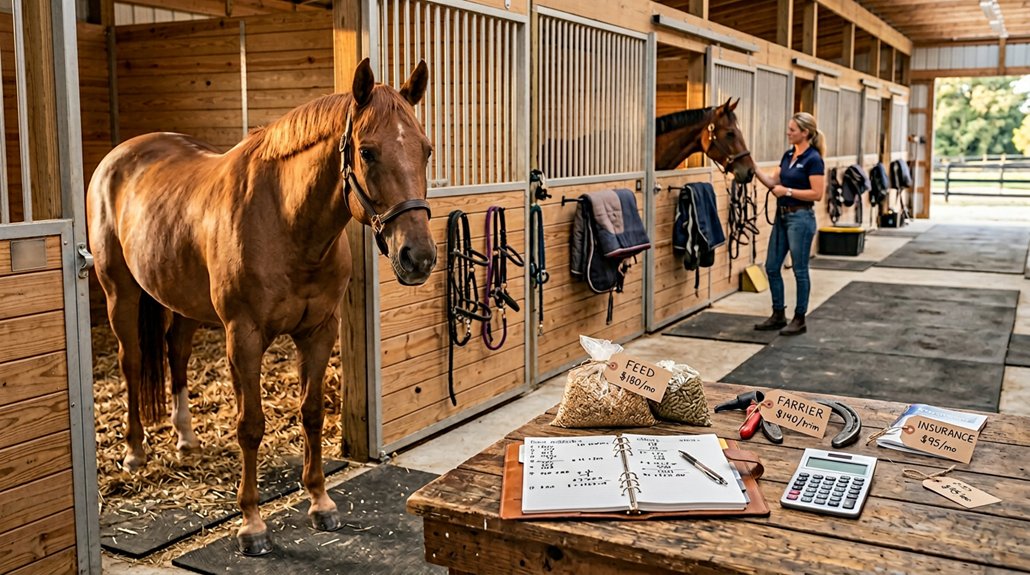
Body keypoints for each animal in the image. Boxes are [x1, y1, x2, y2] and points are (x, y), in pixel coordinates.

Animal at [86, 58, 436, 555]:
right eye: (367, 152)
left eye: (425, 150)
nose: (418, 257)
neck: (285, 222)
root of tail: (119, 157)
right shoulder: (244, 337)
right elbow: (250, 425)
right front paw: (251, 524)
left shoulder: (319, 332)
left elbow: (312, 414)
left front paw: (320, 503)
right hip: (120, 292)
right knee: (131, 362)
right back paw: (135, 451)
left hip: (184, 303)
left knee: (176, 353)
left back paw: (186, 439)